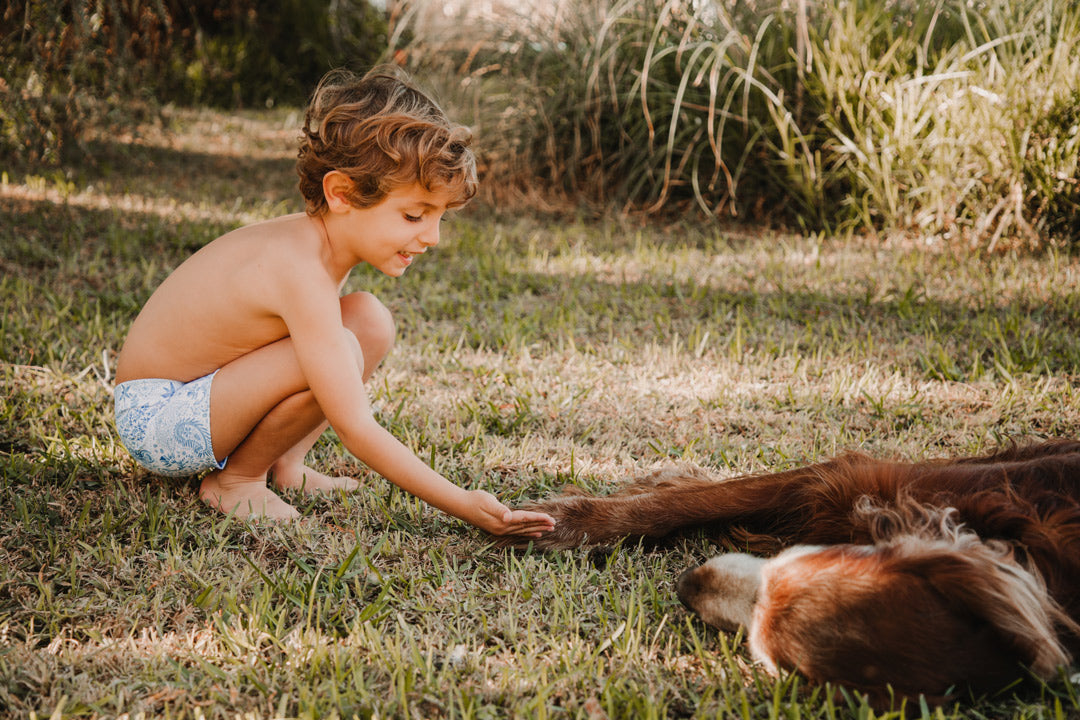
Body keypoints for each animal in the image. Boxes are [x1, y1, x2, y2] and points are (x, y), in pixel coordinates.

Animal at [501, 442, 1080, 708]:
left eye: (773, 661)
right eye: (788, 565)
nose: (685, 586)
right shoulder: (854, 478)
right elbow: (689, 500)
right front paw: (570, 521)